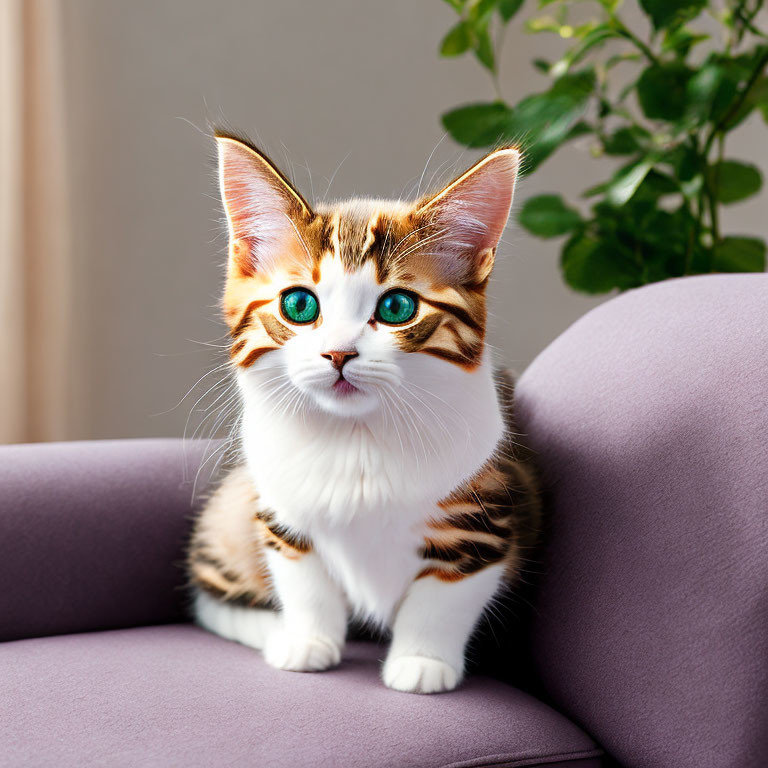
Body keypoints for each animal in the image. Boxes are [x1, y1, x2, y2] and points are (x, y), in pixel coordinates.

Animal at [186, 134, 540, 696]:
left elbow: (443, 597)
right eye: (299, 305)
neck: (356, 438)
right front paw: (307, 640)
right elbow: (305, 582)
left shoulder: (486, 517)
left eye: (397, 307)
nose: (338, 353)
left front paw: (421, 662)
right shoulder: (278, 510)